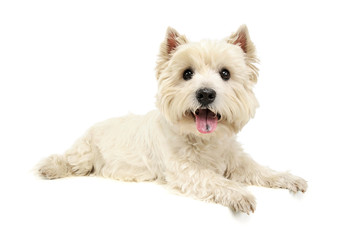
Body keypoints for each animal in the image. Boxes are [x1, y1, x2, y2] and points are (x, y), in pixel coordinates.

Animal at [35, 25, 306, 214]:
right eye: (187, 74)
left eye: (225, 73)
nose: (206, 93)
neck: (205, 140)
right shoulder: (183, 169)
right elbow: (213, 179)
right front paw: (240, 195)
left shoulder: (235, 160)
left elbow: (259, 170)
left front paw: (290, 179)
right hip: (86, 151)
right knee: (70, 160)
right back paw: (49, 168)